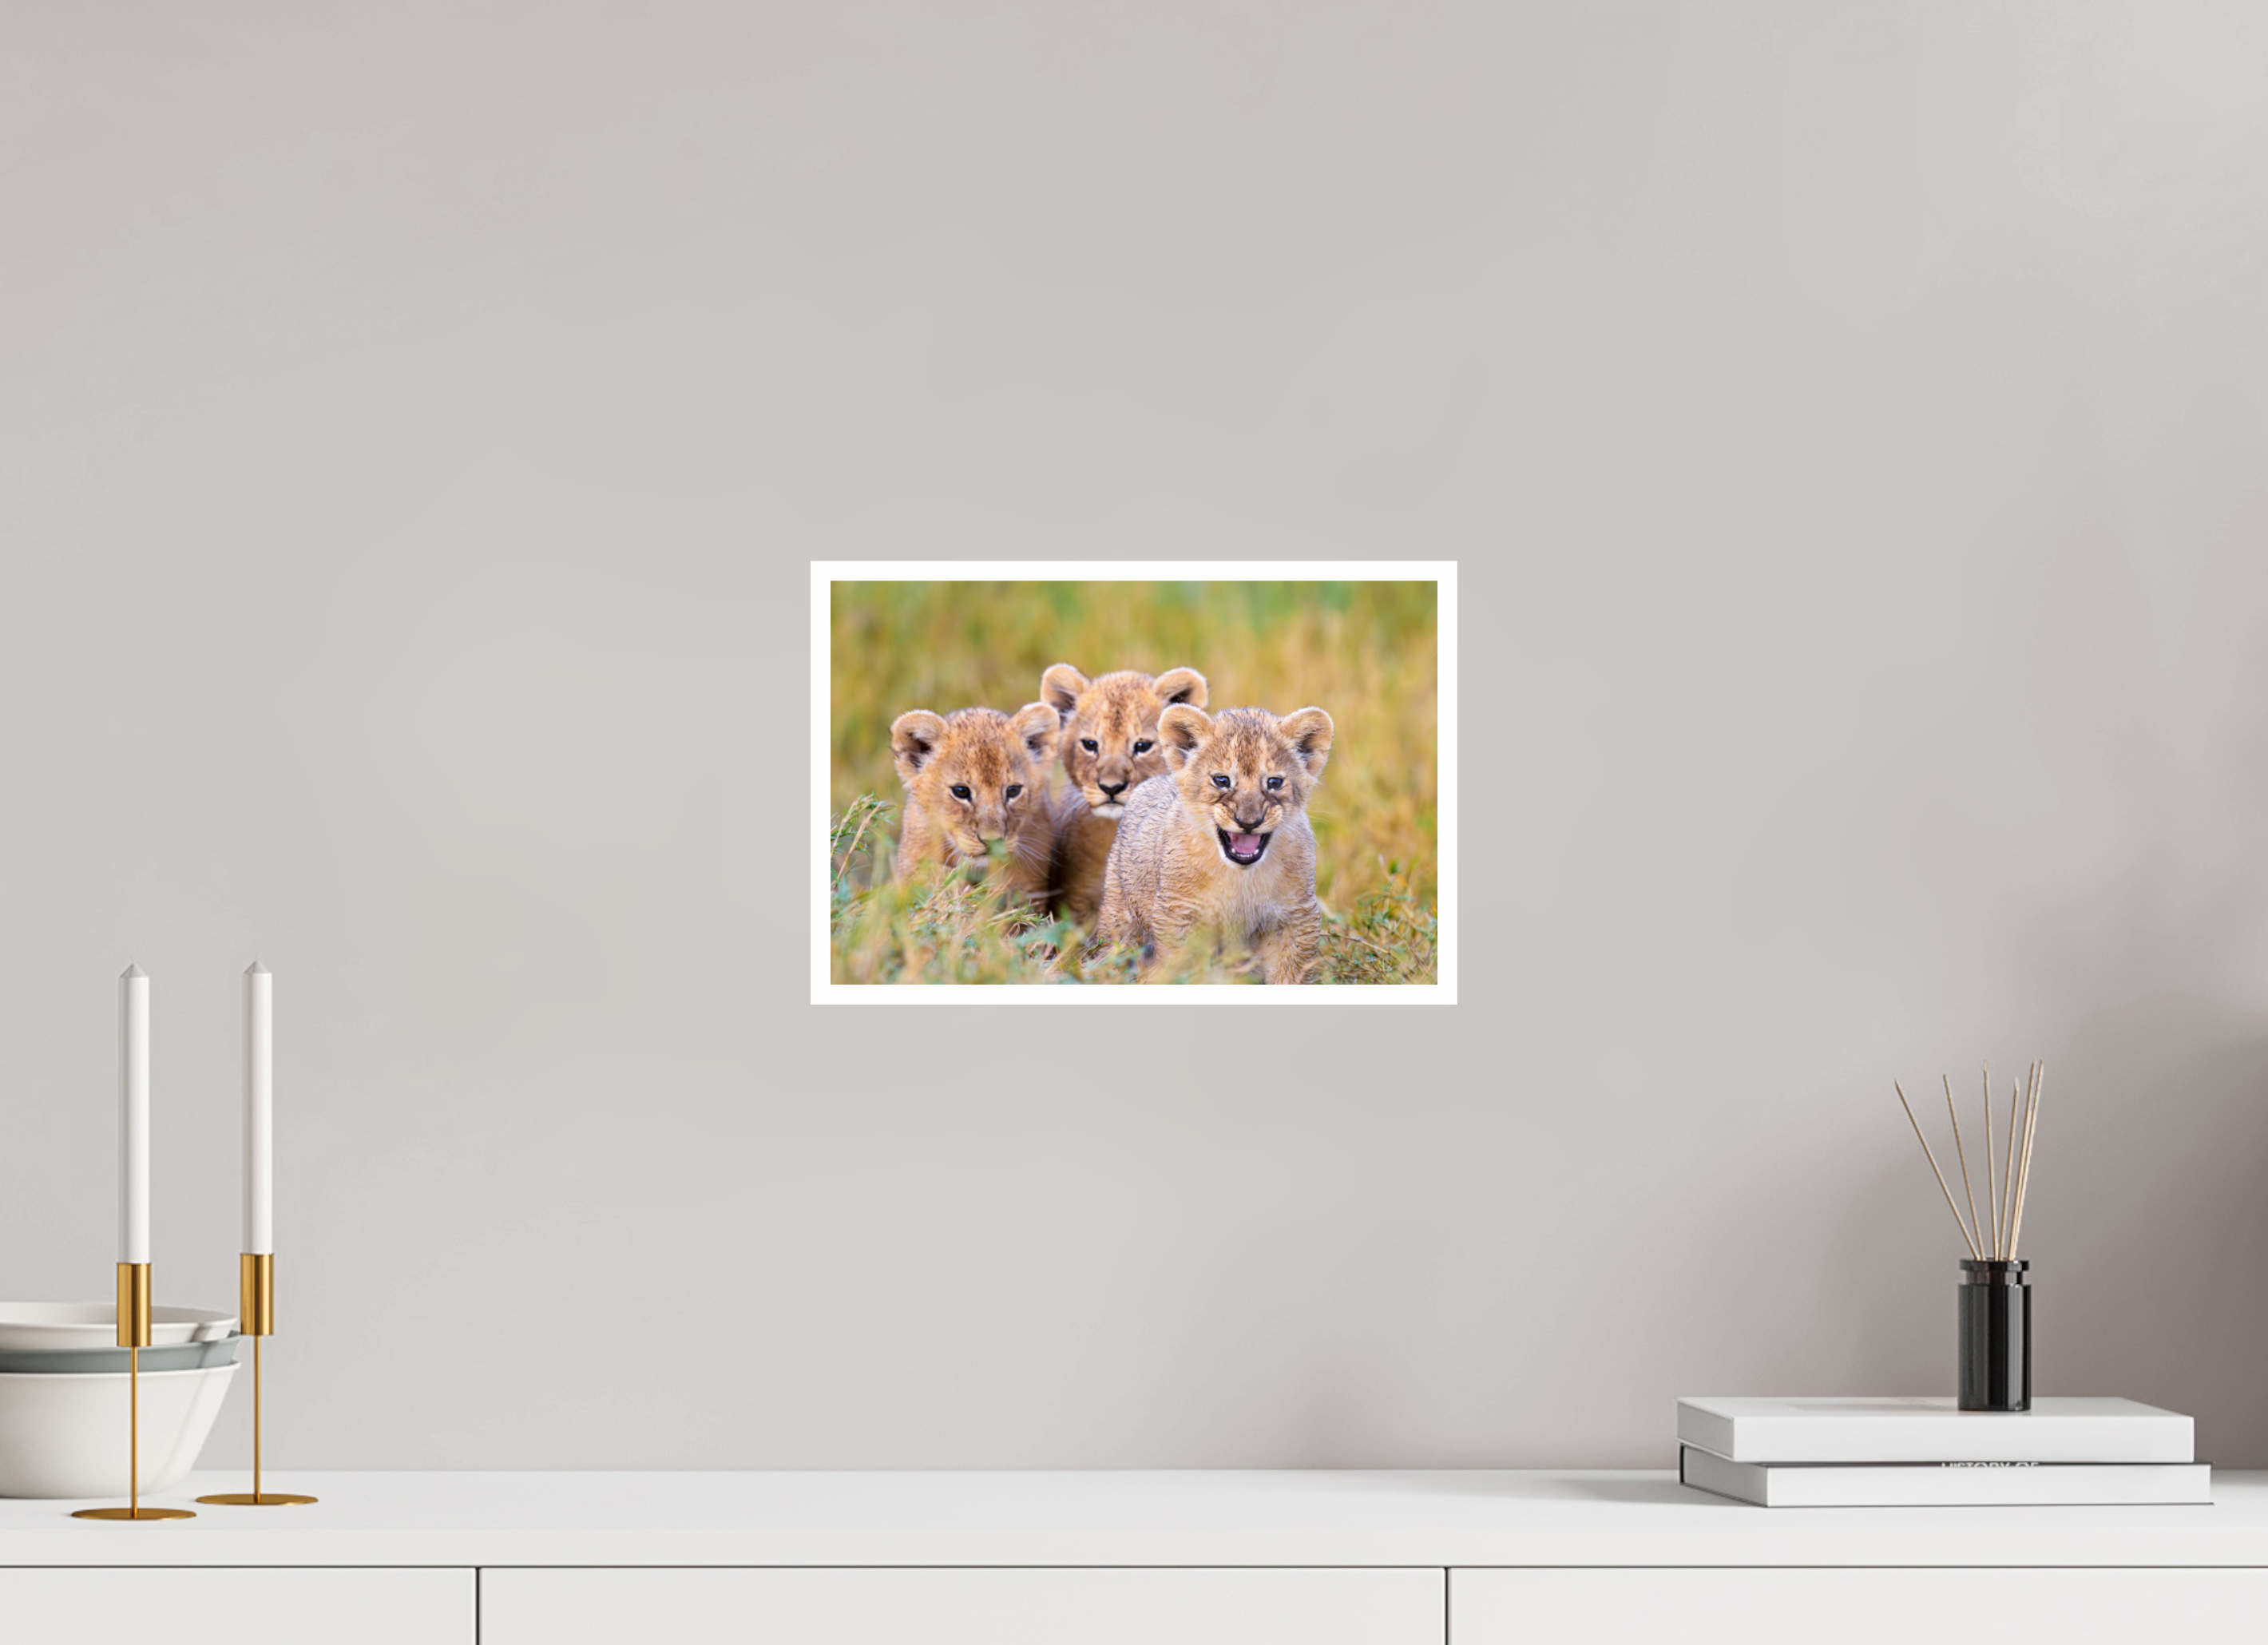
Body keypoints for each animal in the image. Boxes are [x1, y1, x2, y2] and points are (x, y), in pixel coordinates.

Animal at [1093, 702, 1335, 983]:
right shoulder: (1178, 915)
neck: (1240, 877)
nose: (1249, 821)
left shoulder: (1295, 917)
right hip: (1119, 918)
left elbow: (1290, 975)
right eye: (1222, 780)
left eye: (1274, 782)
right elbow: (1183, 971)